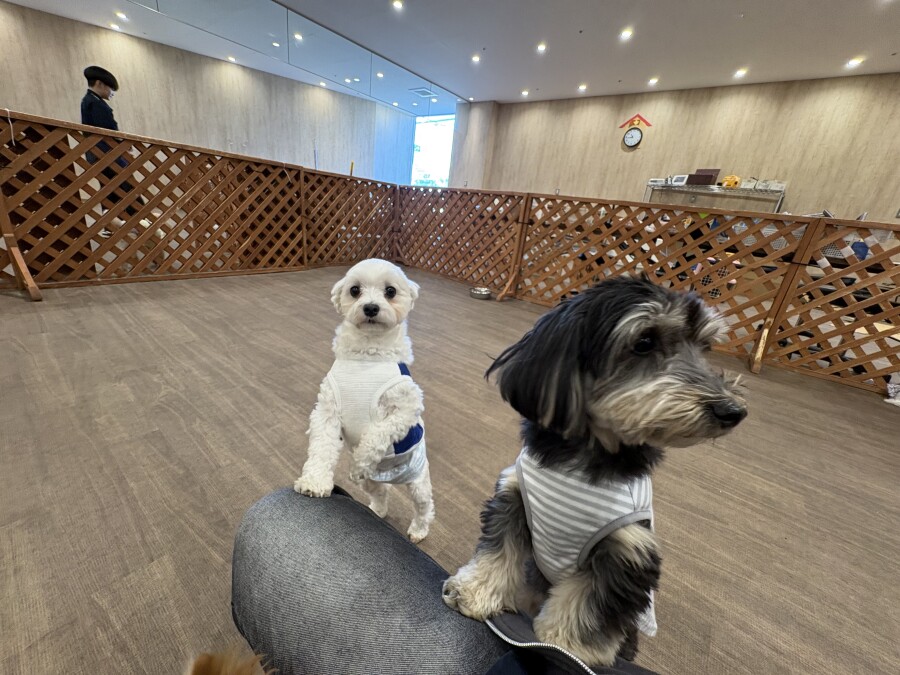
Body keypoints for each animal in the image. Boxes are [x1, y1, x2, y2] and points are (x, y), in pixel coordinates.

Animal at [294, 258, 435, 543]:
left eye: (390, 291)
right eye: (355, 290)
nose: (370, 307)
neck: (367, 356)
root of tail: (392, 476)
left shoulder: (406, 409)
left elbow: (375, 435)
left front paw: (359, 460)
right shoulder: (327, 411)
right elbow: (321, 448)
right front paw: (314, 482)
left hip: (418, 482)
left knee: (424, 506)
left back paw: (418, 530)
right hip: (370, 482)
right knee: (382, 492)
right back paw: (377, 510)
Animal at [442, 275, 747, 667]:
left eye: (705, 347)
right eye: (644, 342)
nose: (733, 411)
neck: (587, 451)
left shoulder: (626, 549)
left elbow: (587, 606)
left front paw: (566, 649)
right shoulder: (513, 497)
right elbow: (497, 555)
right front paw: (474, 591)